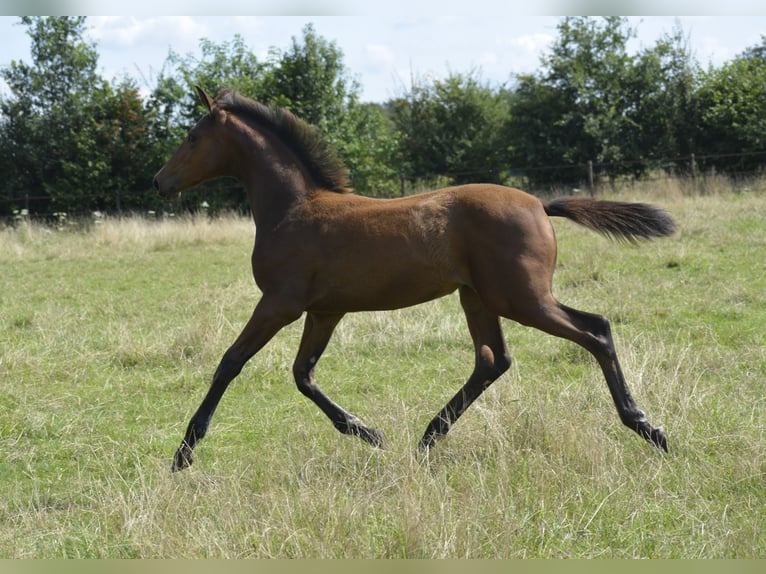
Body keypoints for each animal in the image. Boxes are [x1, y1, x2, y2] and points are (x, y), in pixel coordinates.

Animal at [153, 86, 676, 472]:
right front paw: (368, 432)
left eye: (193, 136)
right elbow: (303, 374)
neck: (293, 210)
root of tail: (539, 204)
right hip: (479, 297)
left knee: (595, 330)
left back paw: (647, 428)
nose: (160, 181)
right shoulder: (324, 310)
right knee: (493, 359)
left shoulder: (280, 303)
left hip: (521, 297)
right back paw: (427, 439)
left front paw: (184, 453)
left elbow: (230, 362)